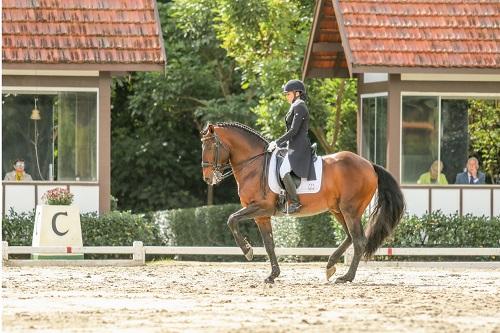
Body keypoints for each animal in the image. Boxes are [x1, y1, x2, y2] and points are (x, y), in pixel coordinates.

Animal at [201, 122, 404, 282]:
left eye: (210, 146)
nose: (207, 178)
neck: (254, 166)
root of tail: (369, 165)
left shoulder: (261, 207)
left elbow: (231, 219)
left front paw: (247, 250)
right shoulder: (262, 216)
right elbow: (269, 244)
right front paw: (272, 275)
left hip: (350, 210)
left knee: (359, 240)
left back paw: (346, 277)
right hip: (338, 210)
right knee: (349, 236)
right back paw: (330, 265)